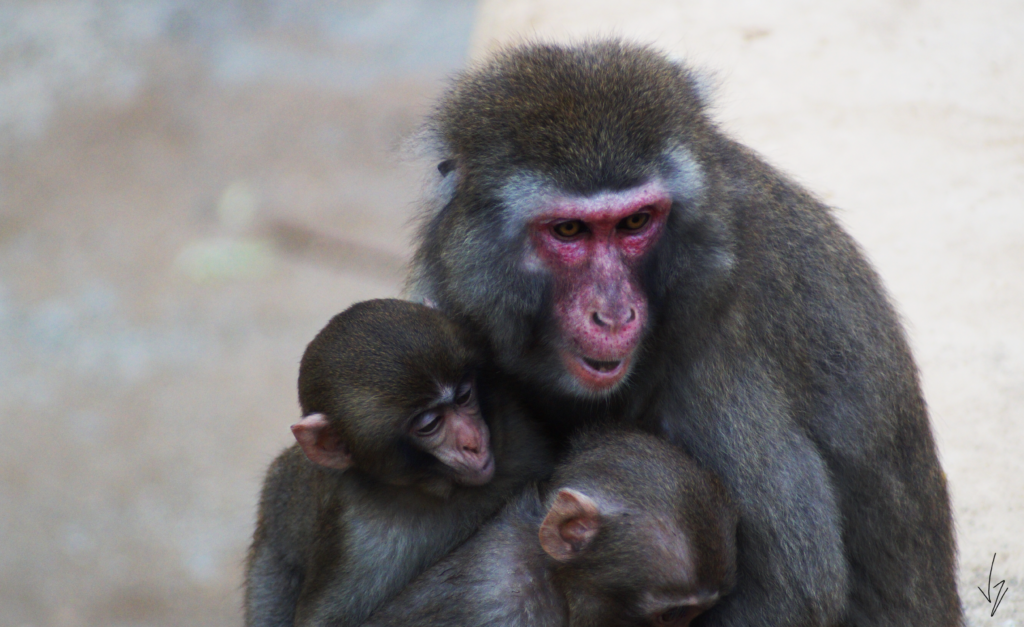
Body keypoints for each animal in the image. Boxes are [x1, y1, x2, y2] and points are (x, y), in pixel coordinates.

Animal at [244, 299, 557, 627]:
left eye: (464, 396)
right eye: (429, 424)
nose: (473, 441)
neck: (436, 489)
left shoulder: (515, 434)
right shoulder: (362, 545)